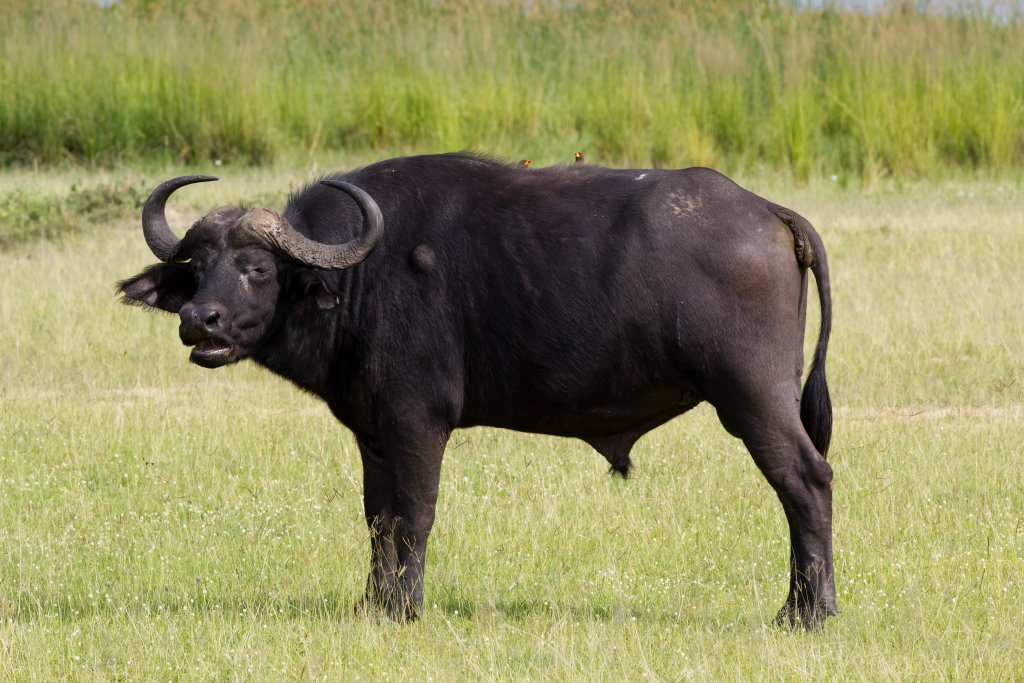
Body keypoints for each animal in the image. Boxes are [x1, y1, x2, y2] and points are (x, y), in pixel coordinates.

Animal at [118, 153, 835, 628]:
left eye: (258, 269)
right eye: (198, 266)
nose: (199, 321)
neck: (362, 278)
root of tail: (768, 213)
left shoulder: (417, 419)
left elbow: (415, 513)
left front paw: (407, 609)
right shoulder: (372, 431)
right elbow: (378, 516)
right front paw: (374, 604)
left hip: (752, 397)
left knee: (805, 481)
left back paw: (807, 611)